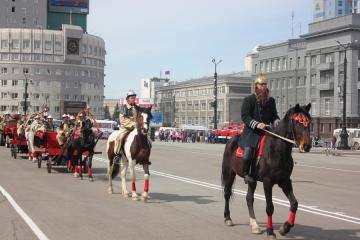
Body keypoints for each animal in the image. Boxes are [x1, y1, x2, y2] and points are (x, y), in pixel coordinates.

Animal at [221, 103, 310, 240]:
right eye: (297, 121)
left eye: (309, 121)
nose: (307, 145)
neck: (278, 151)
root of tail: (231, 140)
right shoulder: (268, 182)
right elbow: (270, 207)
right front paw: (270, 231)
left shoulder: (285, 181)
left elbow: (294, 203)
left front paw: (285, 228)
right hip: (229, 173)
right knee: (227, 193)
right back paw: (228, 218)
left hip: (252, 180)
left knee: (249, 198)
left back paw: (254, 225)